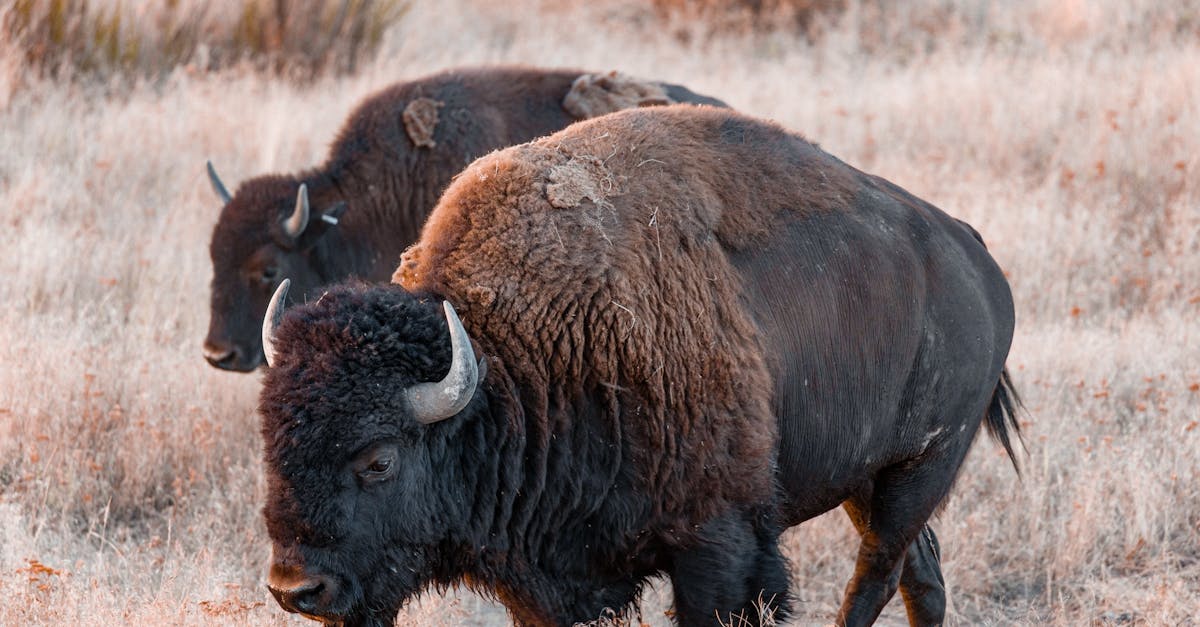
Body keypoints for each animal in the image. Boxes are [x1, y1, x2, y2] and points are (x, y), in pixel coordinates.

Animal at [256, 105, 1022, 626]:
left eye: (379, 459)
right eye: (271, 445)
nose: (297, 588)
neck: (513, 362)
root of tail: (973, 253)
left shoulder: (720, 542)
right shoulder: (543, 580)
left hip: (917, 469)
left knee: (879, 571)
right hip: (868, 478)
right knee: (920, 571)